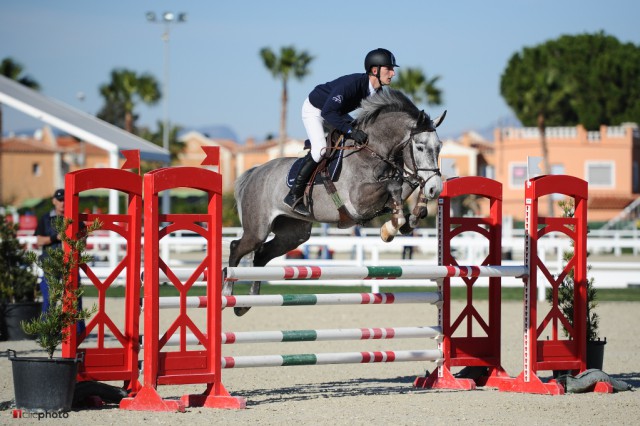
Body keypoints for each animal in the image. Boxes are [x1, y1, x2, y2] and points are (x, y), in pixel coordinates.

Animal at [226, 89, 444, 316]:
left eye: (439, 147)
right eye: (419, 147)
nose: (435, 188)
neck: (371, 152)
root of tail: (254, 173)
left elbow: (404, 187)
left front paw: (410, 218)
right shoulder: (358, 201)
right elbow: (394, 186)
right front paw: (393, 227)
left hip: (293, 234)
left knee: (261, 256)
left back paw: (246, 303)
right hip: (257, 230)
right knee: (236, 248)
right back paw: (228, 293)